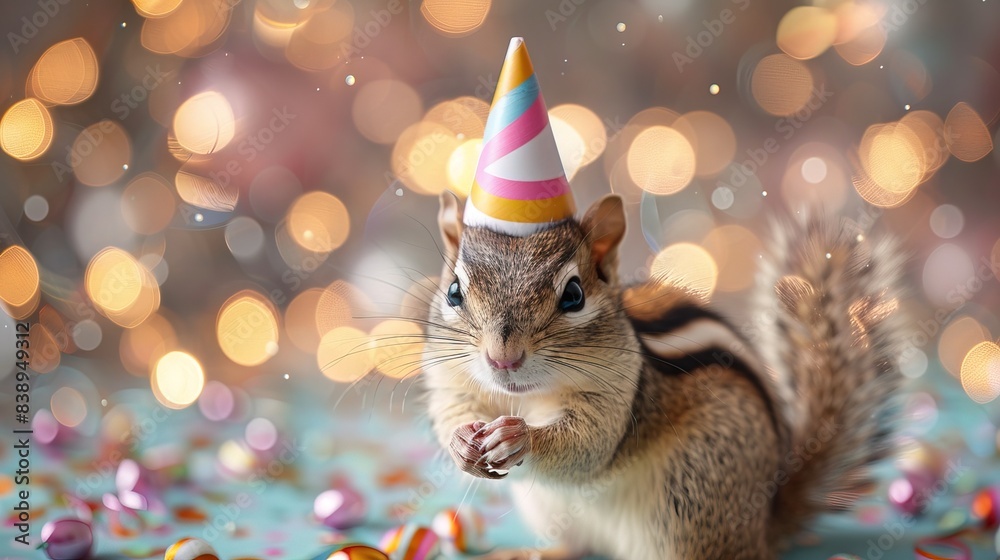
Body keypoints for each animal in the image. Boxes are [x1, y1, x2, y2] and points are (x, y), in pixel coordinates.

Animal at [420, 191, 906, 560]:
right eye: (454, 290)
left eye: (574, 295)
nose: (502, 359)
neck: (527, 396)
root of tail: (767, 520)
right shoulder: (450, 378)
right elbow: (451, 412)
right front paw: (461, 443)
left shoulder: (622, 394)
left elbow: (587, 447)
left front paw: (520, 438)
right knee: (574, 547)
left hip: (691, 495)